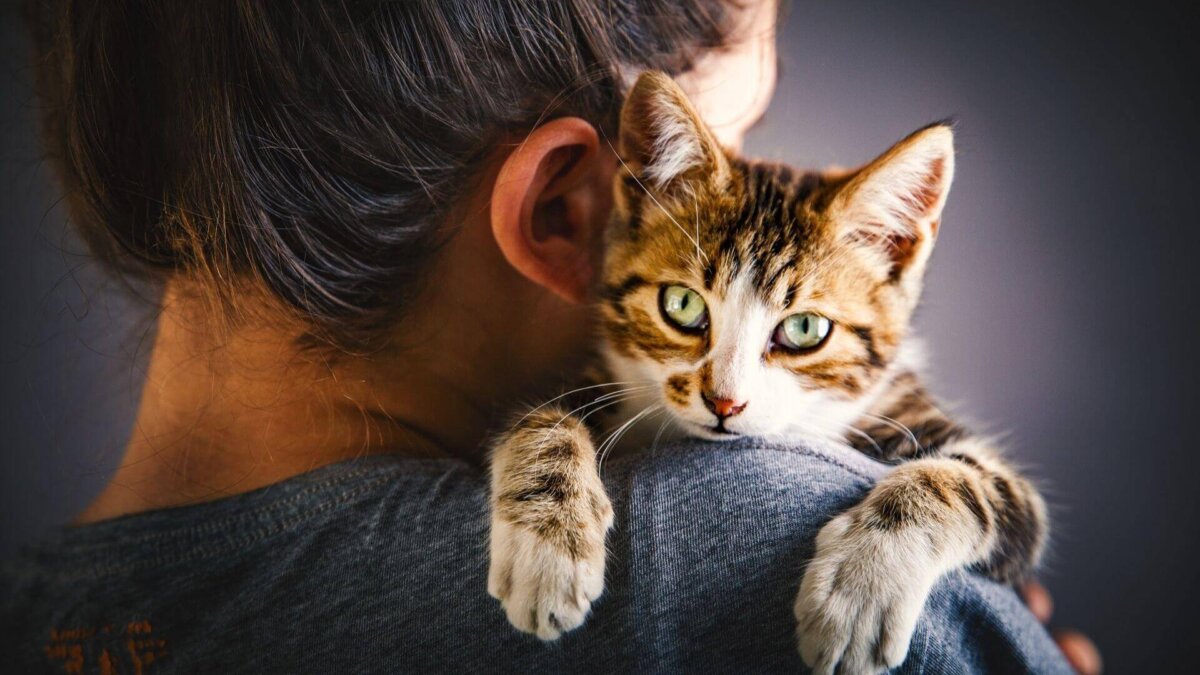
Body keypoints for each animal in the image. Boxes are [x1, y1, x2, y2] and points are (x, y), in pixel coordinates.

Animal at [487, 70, 1051, 667]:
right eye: (681, 305)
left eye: (804, 329)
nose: (724, 401)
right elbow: (544, 413)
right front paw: (546, 545)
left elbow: (969, 484)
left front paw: (860, 587)